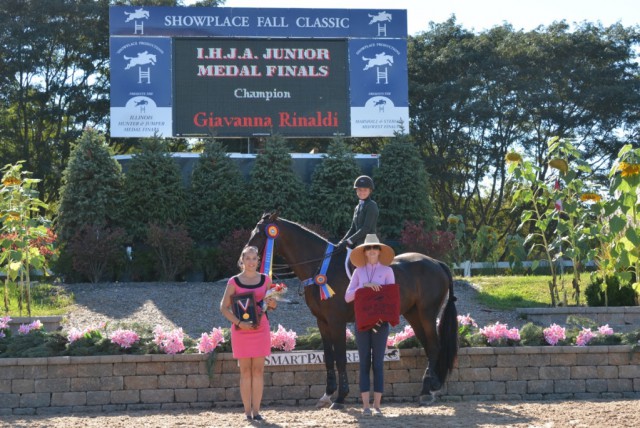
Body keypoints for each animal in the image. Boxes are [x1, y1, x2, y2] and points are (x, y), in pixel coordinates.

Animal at [245, 212, 456, 406]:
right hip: (413, 314)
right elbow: (328, 357)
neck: (321, 267)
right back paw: (430, 388)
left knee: (434, 346)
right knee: (429, 346)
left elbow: (340, 357)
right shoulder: (322, 322)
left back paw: (429, 391)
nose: (244, 258)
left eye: (260, 233)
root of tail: (437, 263)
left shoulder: (336, 321)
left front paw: (340, 397)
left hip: (427, 313)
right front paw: (327, 394)